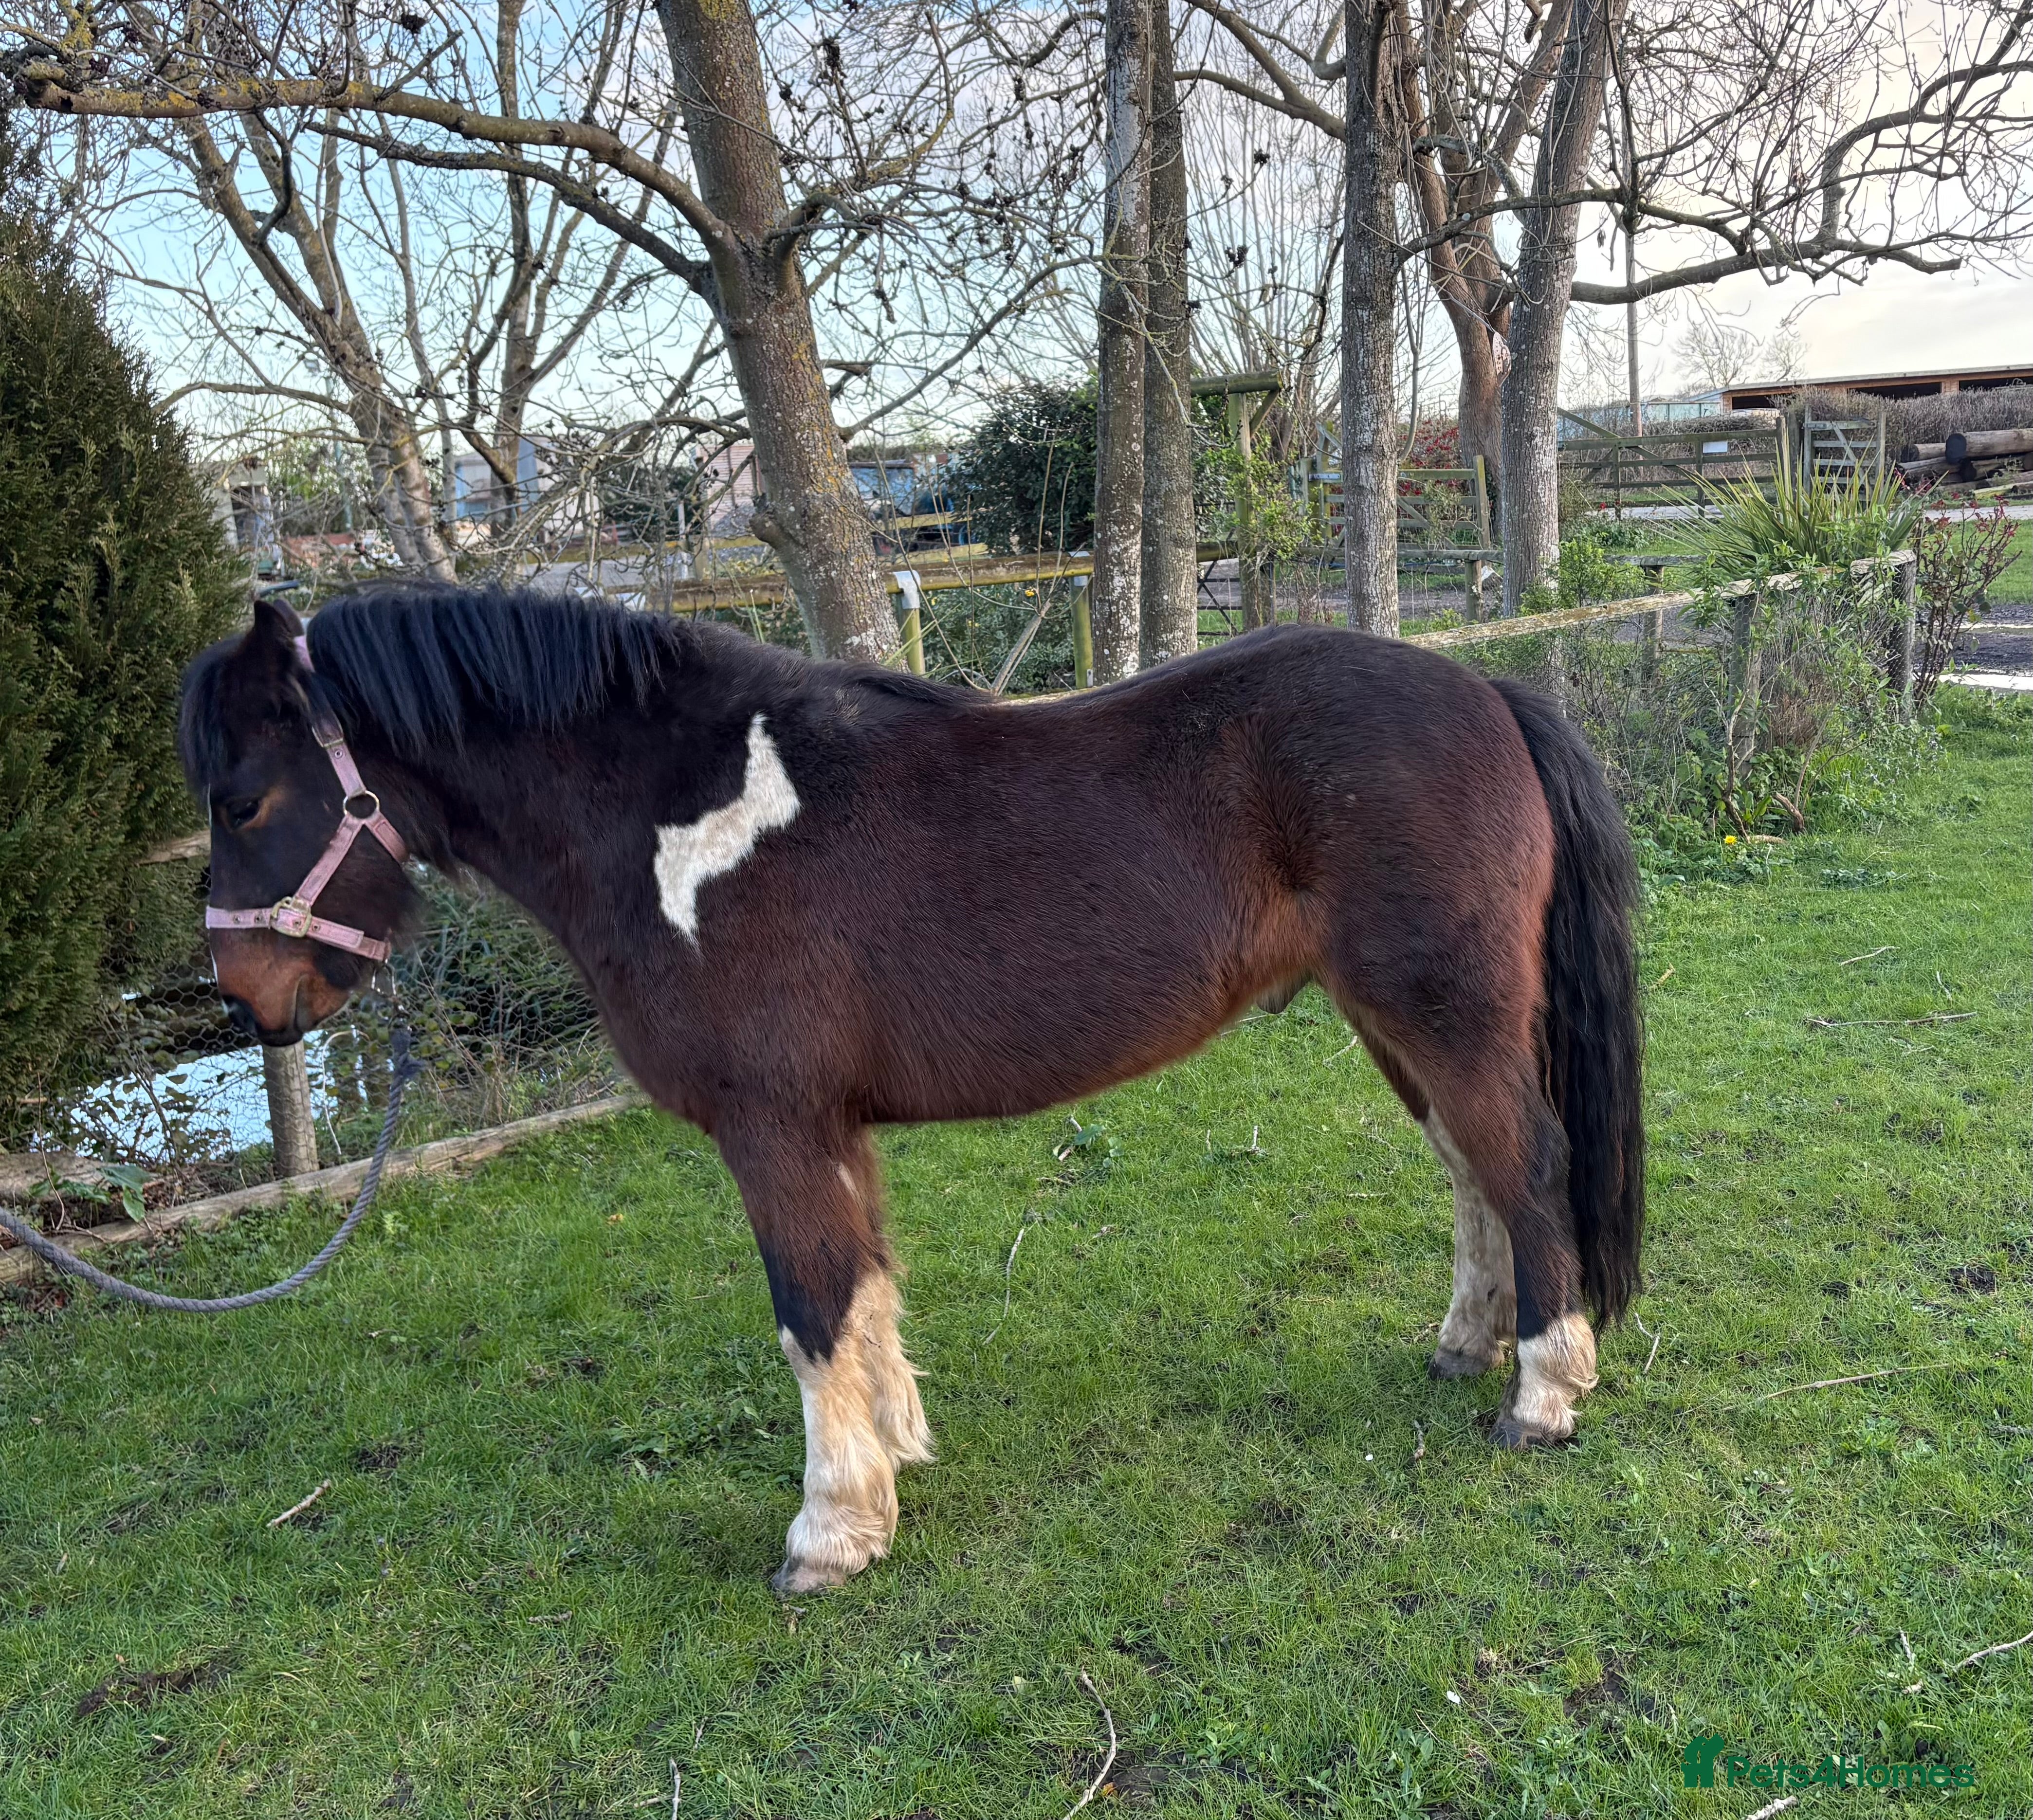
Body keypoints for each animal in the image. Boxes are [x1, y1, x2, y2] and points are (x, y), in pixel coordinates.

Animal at [179, 586, 1644, 1596]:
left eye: (244, 798)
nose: (244, 996)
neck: (677, 821)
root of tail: (1483, 689)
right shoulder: (830, 1127)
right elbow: (865, 1292)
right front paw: (893, 1456)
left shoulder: (770, 1127)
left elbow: (809, 1306)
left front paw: (830, 1530)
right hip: (1394, 1018)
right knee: (1472, 1169)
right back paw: (1469, 1341)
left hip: (1443, 1010)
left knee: (1523, 1163)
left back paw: (1540, 1393)